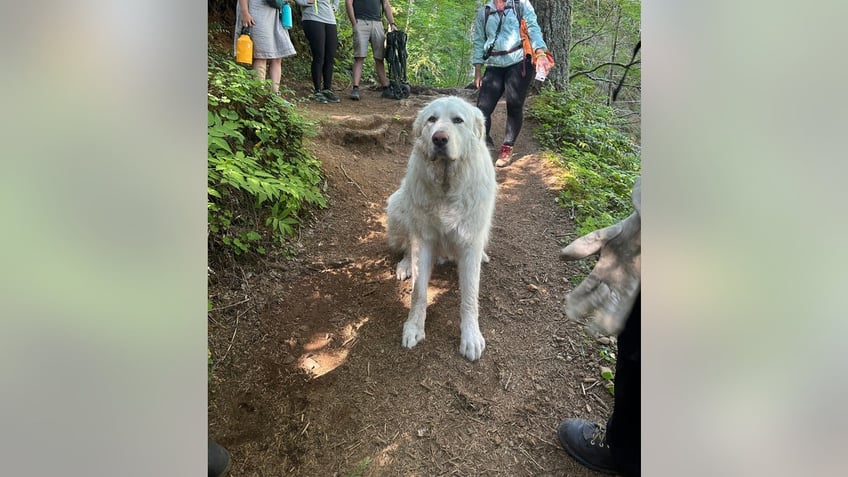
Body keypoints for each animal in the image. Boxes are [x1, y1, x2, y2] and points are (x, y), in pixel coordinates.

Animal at [386, 95, 496, 358]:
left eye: (458, 120)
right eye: (431, 120)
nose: (439, 138)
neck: (447, 186)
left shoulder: (469, 243)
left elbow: (470, 297)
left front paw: (471, 337)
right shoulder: (424, 240)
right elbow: (418, 293)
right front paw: (414, 327)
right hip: (398, 205)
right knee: (407, 245)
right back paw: (405, 264)